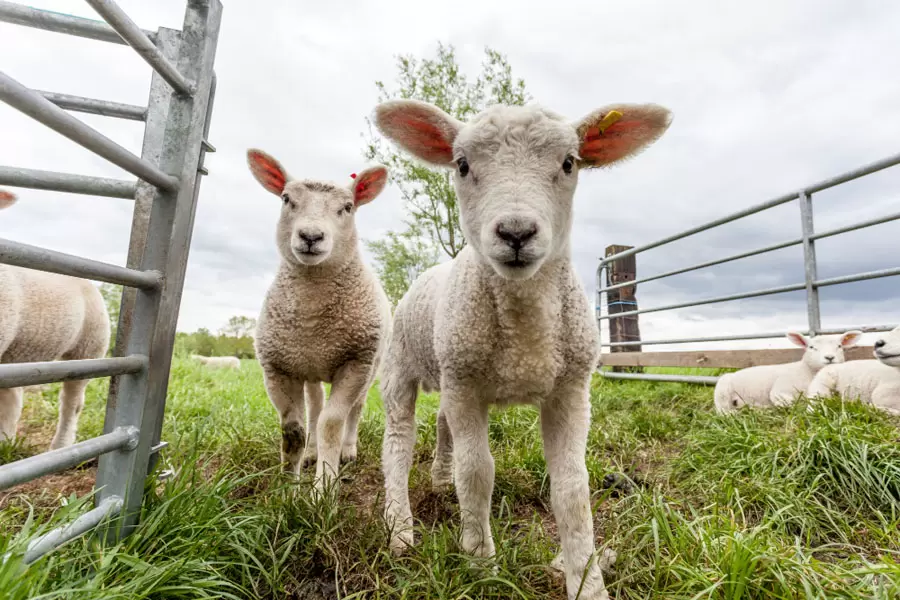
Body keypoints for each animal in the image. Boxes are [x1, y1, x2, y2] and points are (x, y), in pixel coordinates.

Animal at [246, 149, 390, 488]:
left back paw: (348, 451)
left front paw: (324, 487)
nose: (311, 236)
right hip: (308, 366)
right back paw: (312, 453)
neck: (312, 319)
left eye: (348, 207)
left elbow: (332, 423)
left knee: (355, 409)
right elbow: (293, 430)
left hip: (372, 365)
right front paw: (288, 486)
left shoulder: (355, 362)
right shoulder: (277, 368)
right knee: (314, 406)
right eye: (286, 199)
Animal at [374, 99, 676, 600]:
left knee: (440, 425)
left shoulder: (570, 389)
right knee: (397, 441)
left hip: (449, 368)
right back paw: (400, 528)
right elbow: (477, 474)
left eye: (569, 163)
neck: (525, 337)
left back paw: (439, 480)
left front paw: (586, 580)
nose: (516, 233)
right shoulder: (466, 386)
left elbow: (572, 489)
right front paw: (481, 564)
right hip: (401, 366)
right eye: (461, 165)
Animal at [712, 330, 860, 414]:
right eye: (811, 347)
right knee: (723, 411)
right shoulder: (779, 391)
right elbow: (793, 403)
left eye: (839, 346)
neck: (806, 371)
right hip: (722, 392)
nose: (829, 357)